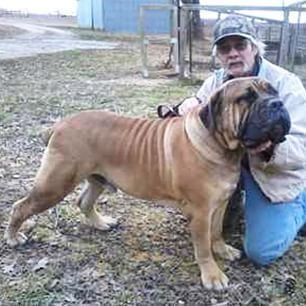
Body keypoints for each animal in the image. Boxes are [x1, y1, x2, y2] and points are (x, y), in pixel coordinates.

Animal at [5, 76, 292, 290]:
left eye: (274, 91)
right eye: (246, 98)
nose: (278, 103)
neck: (222, 147)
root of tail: (59, 125)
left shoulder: (219, 204)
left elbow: (216, 232)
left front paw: (222, 250)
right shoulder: (201, 212)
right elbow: (202, 245)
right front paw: (212, 275)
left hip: (97, 180)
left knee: (83, 202)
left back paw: (101, 223)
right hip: (55, 184)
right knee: (20, 206)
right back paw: (14, 237)